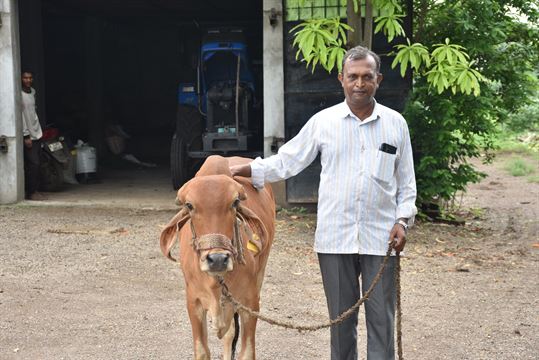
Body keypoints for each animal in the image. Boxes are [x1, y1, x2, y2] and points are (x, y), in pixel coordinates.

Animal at [160, 155, 274, 360]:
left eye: (235, 202)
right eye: (189, 205)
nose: (218, 259)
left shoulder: (250, 303)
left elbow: (247, 351)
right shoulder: (193, 302)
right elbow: (202, 351)